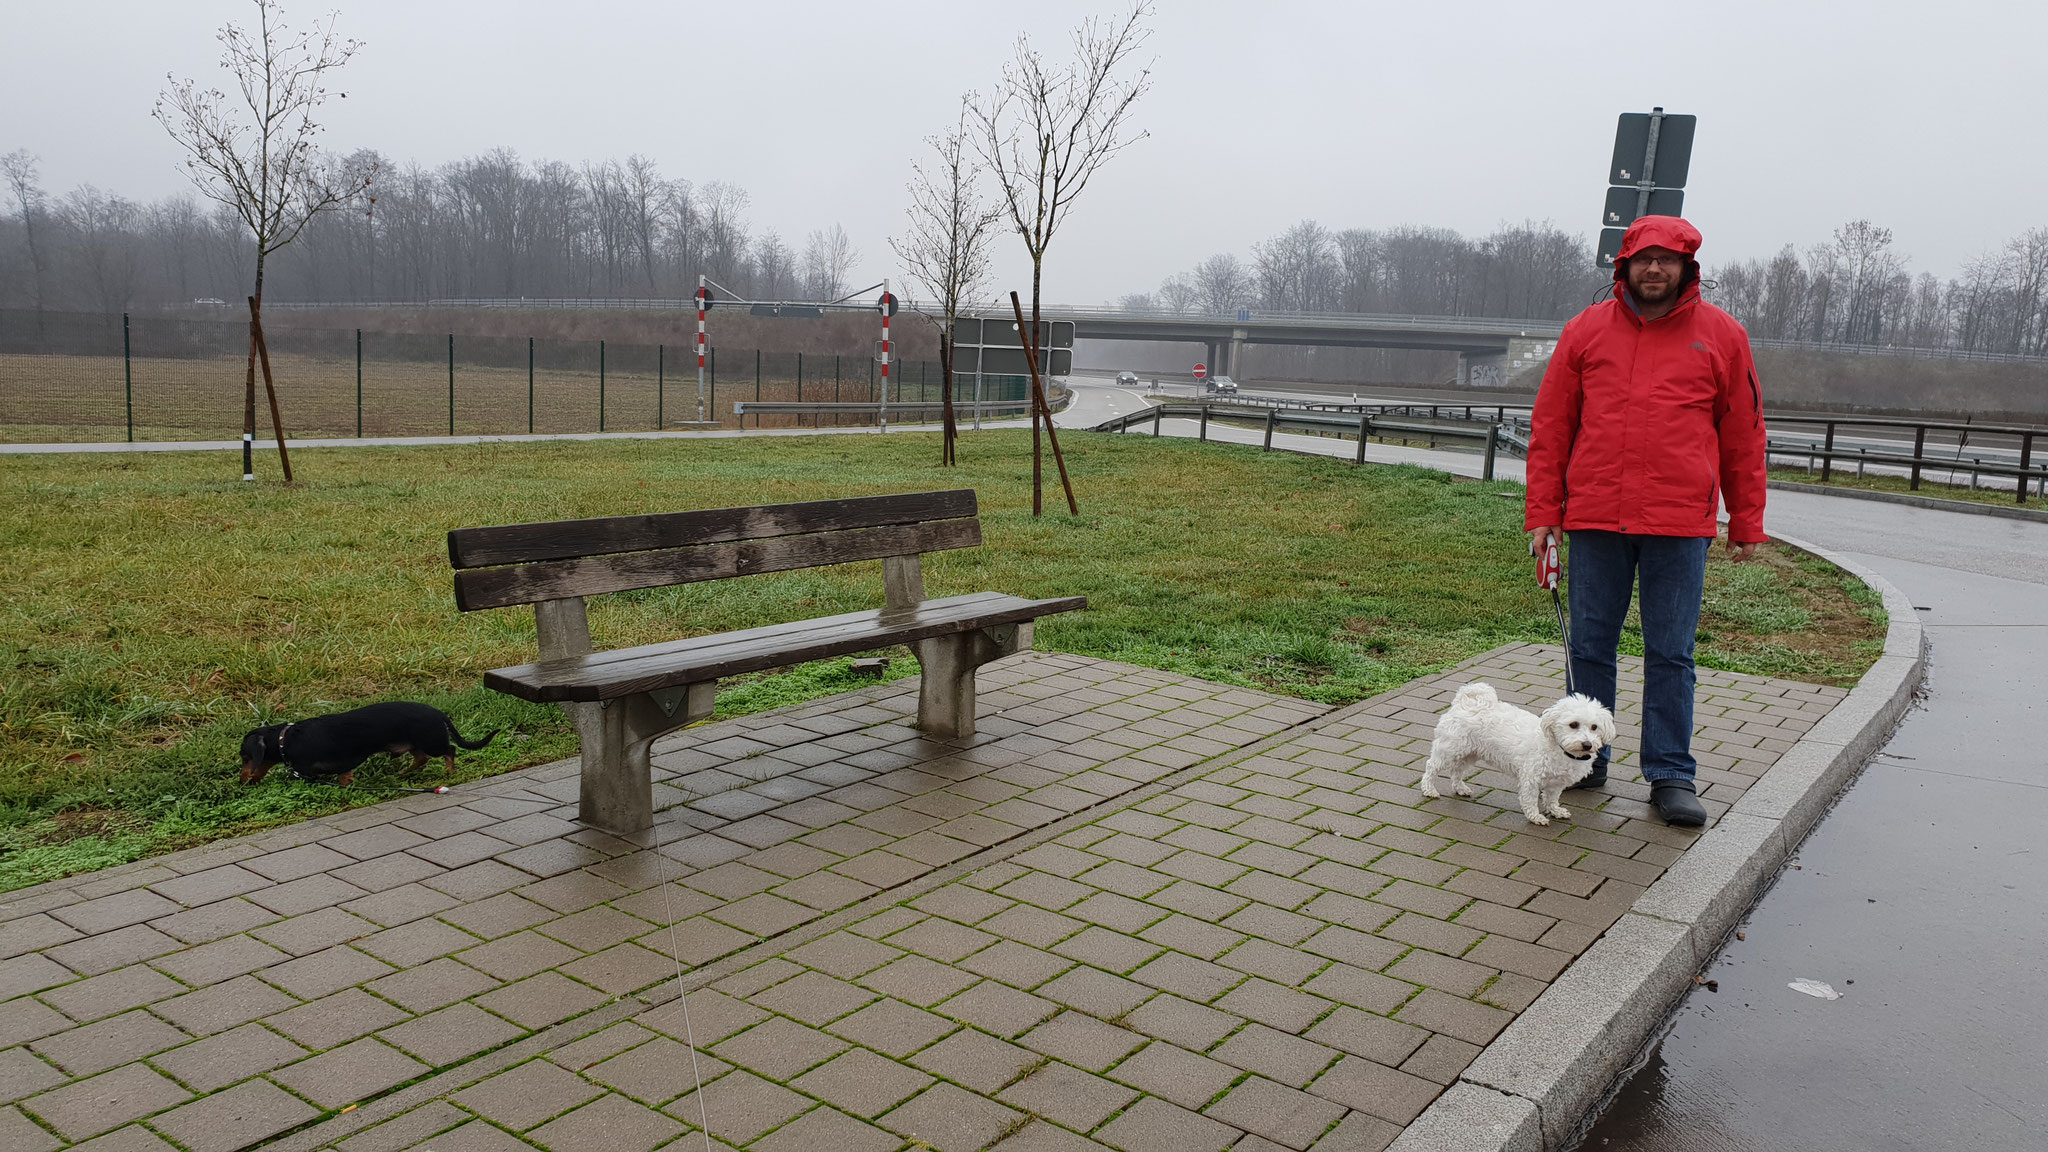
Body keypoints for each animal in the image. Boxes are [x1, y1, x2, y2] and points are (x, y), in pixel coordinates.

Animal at [1425, 676, 1613, 819]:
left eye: (1594, 727)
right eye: (1573, 724)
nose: (1587, 744)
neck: (1561, 750)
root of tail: (1466, 702)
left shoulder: (1556, 783)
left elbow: (1552, 799)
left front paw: (1555, 811)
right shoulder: (1530, 778)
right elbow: (1529, 800)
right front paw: (1535, 817)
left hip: (1469, 753)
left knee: (1456, 771)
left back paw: (1460, 789)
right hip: (1450, 749)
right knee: (1431, 767)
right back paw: (1429, 790)